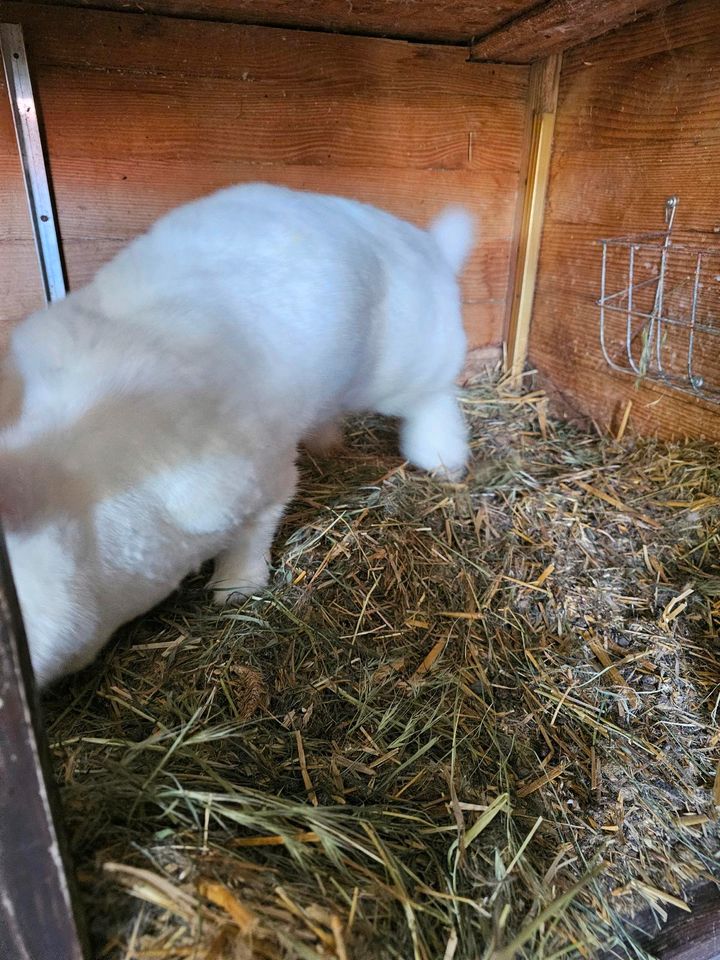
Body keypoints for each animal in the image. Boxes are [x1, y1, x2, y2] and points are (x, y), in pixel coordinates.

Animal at [0, 184, 476, 688]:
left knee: (434, 397)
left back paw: (441, 458)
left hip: (405, 368)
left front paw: (234, 590)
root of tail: (430, 248)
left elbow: (251, 535)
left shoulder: (253, 483)